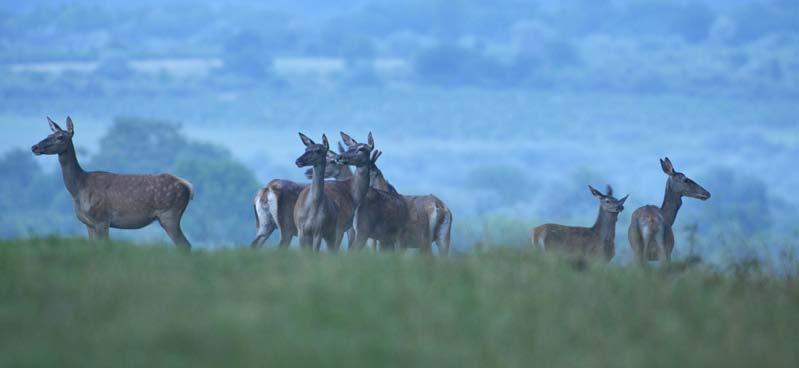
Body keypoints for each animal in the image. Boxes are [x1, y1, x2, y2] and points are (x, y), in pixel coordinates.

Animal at [31, 117, 195, 250]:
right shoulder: (88, 223)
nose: (34, 147)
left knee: (185, 245)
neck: (79, 189)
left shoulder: (101, 219)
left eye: (60, 137)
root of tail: (188, 187)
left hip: (170, 214)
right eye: (48, 135)